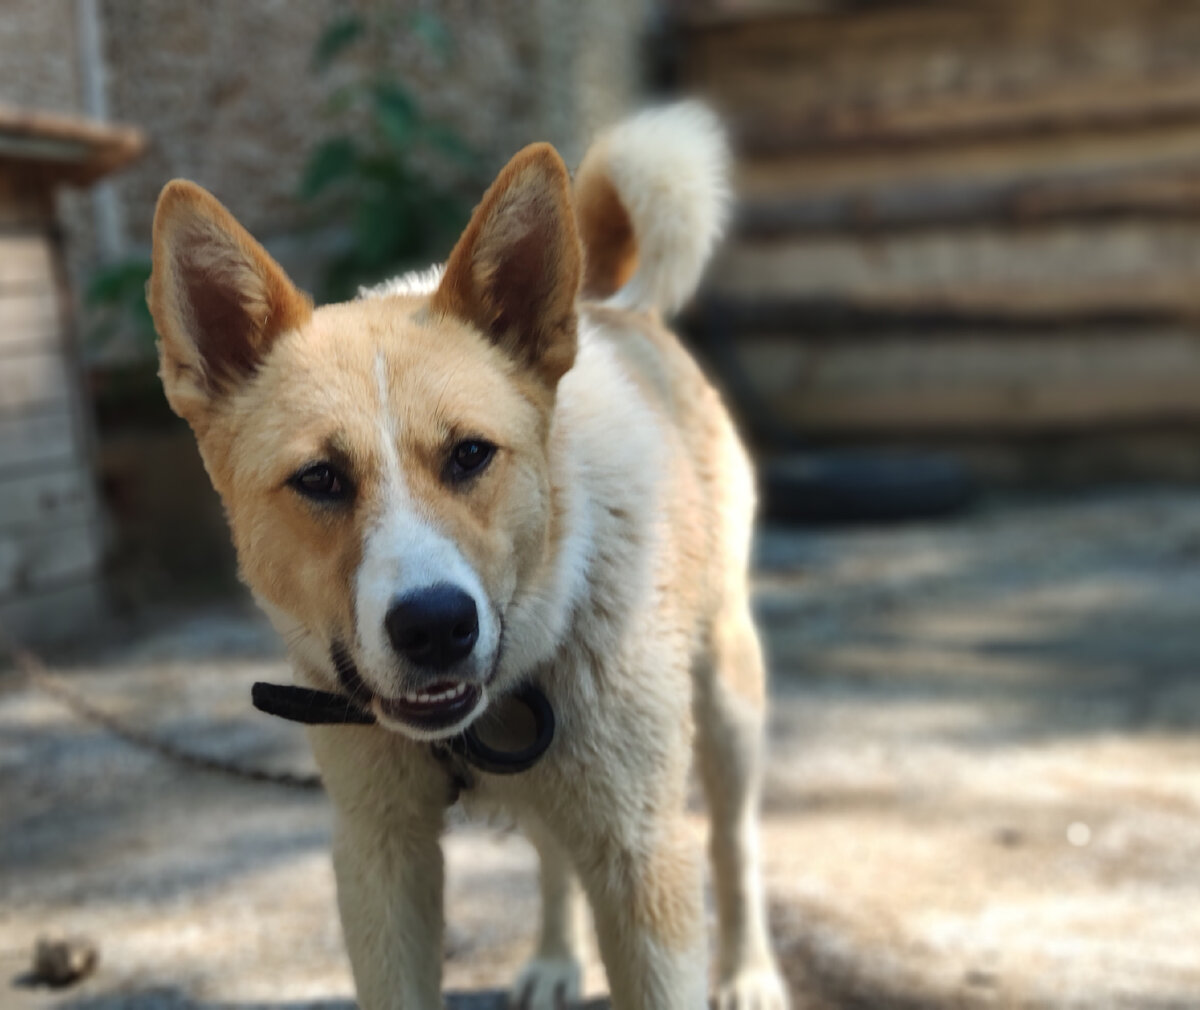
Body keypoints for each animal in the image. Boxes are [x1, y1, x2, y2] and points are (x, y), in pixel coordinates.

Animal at [147, 104, 787, 1007]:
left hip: (728, 696)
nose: (435, 627)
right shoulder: (380, 856)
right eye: (320, 478)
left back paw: (749, 969)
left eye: (470, 455)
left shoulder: (641, 856)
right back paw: (555, 958)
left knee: (736, 840)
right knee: (555, 851)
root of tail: (603, 302)